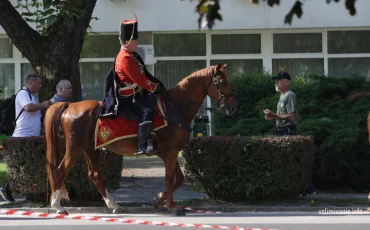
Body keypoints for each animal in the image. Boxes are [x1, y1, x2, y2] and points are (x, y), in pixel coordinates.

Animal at [44, 62, 236, 215]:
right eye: (222, 81)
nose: (232, 108)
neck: (175, 107)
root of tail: (70, 105)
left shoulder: (167, 153)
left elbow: (179, 178)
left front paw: (158, 200)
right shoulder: (171, 152)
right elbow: (170, 178)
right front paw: (171, 206)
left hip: (90, 148)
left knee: (94, 174)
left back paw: (114, 205)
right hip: (75, 148)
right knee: (60, 171)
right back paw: (58, 206)